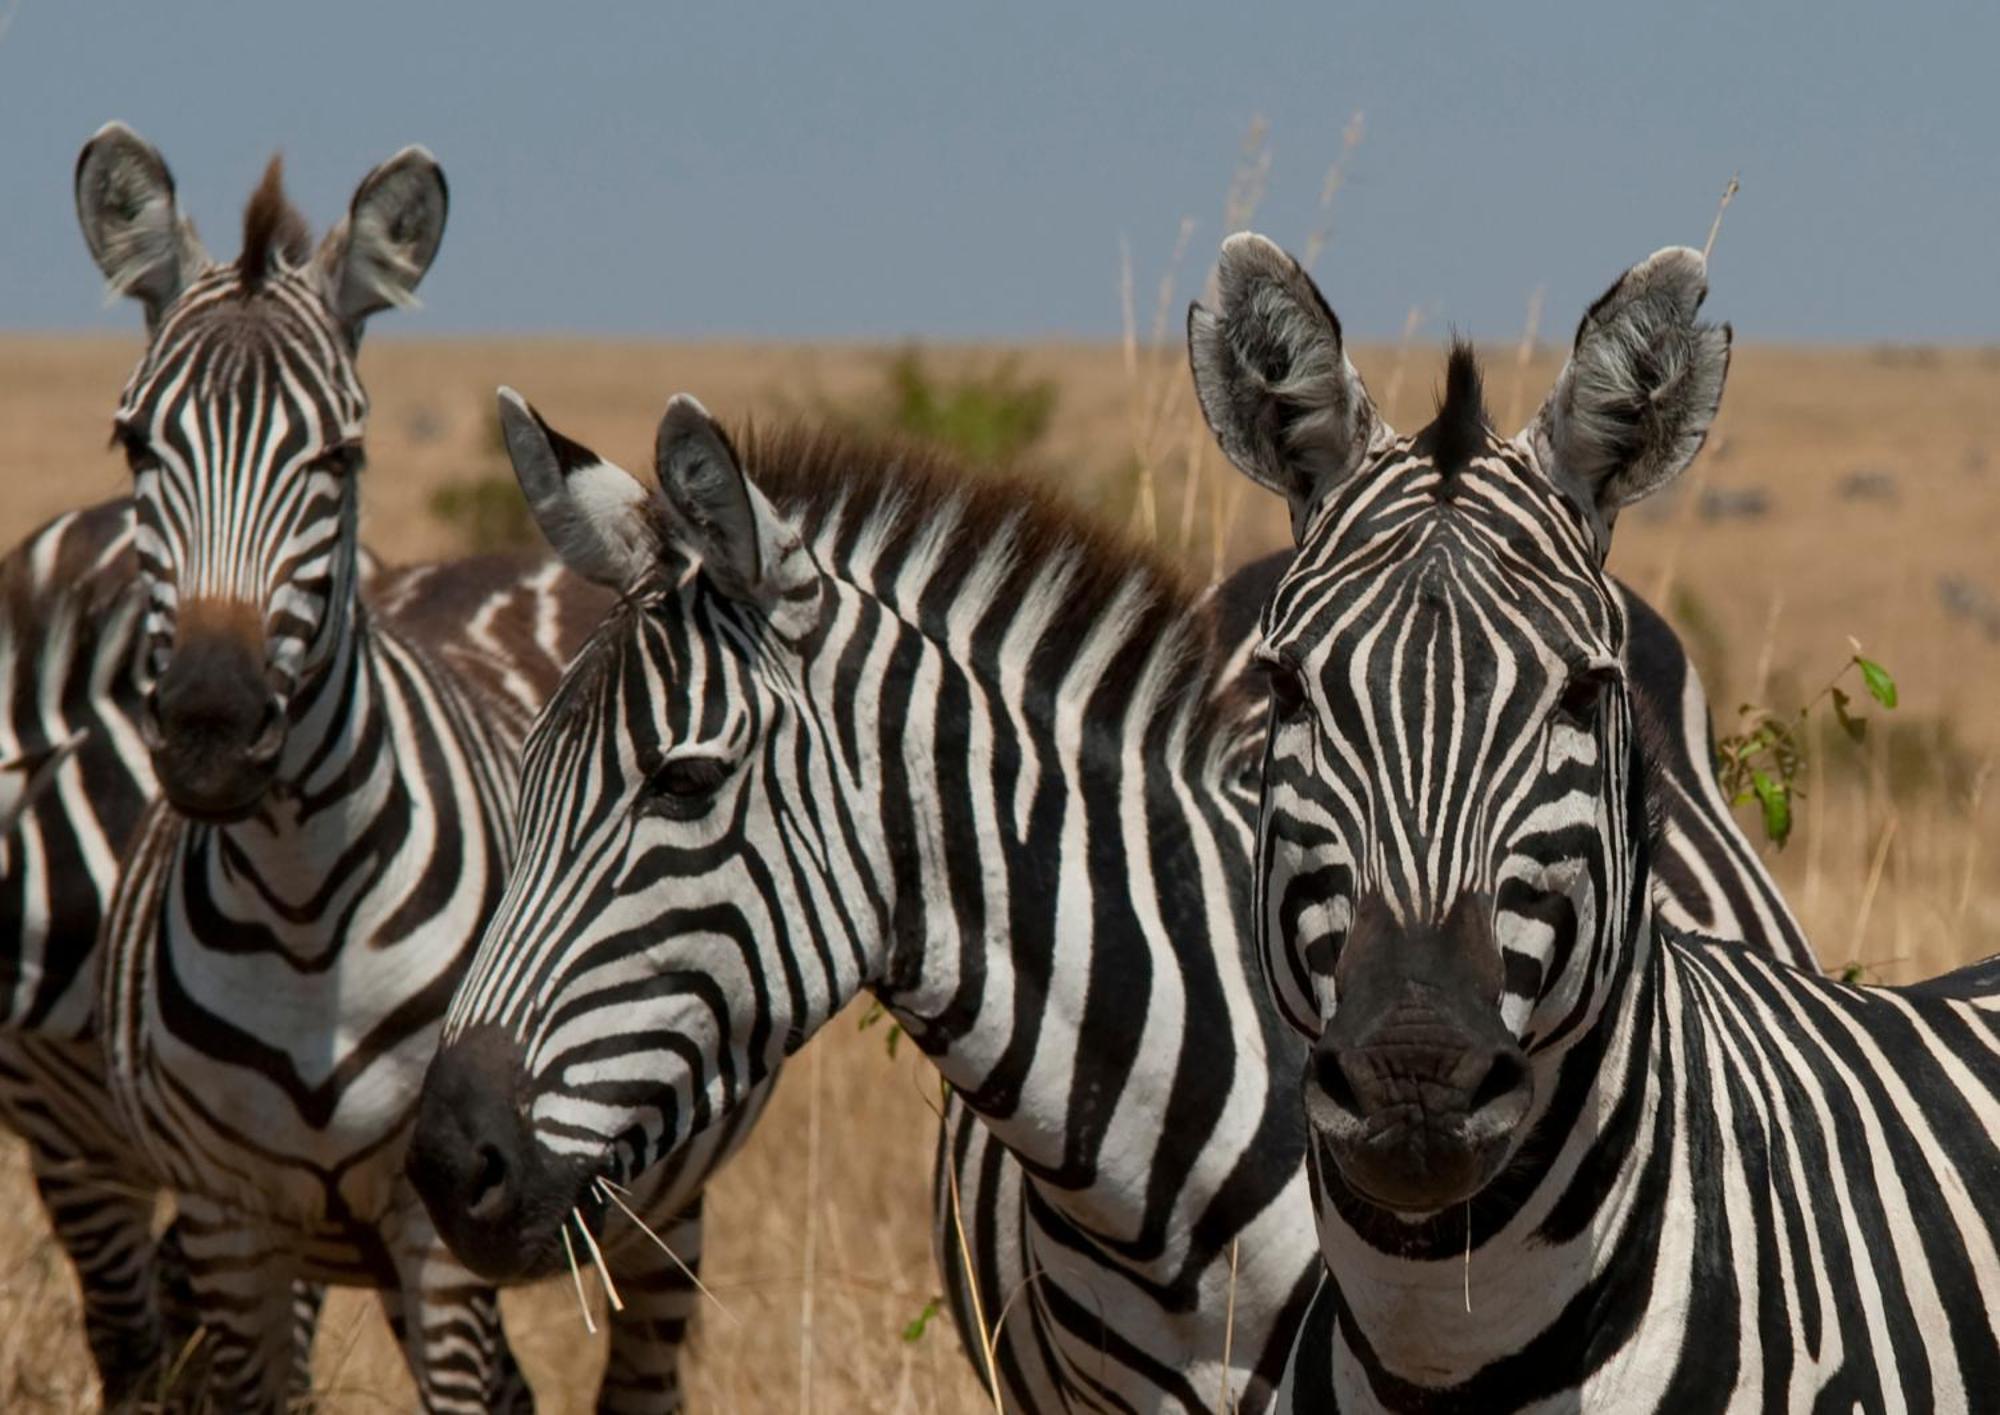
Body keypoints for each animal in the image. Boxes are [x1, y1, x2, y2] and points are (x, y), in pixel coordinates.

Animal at [72, 126, 744, 1407]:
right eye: (134, 440)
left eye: (340, 454)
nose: (212, 724)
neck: (299, 911)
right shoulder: (234, 1219)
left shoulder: (437, 1226)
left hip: (658, 1202)